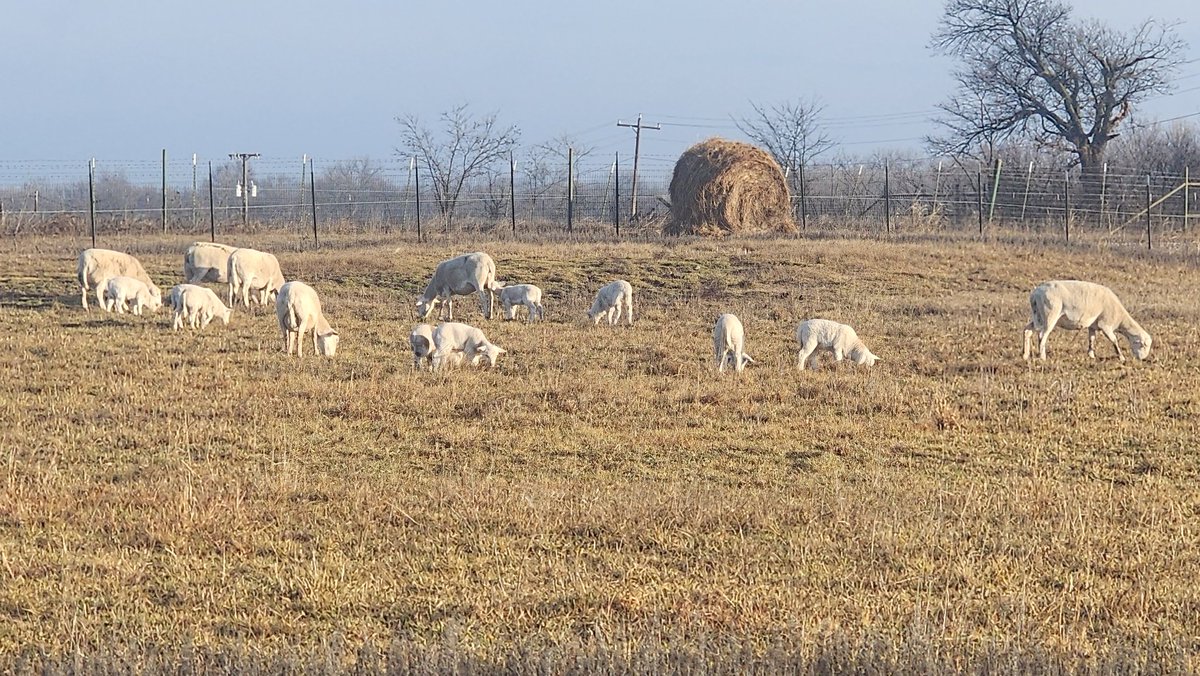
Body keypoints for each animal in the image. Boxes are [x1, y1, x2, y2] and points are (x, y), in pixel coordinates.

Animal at [1022, 280, 1152, 362]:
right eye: (1142, 345)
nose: (1142, 359)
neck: (1120, 319)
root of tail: (1035, 294)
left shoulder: (1093, 326)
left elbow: (1092, 340)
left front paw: (1091, 355)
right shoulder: (1105, 325)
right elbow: (1114, 340)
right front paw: (1121, 357)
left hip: (1038, 316)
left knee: (1027, 330)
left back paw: (1025, 355)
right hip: (1050, 314)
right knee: (1042, 335)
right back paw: (1042, 357)